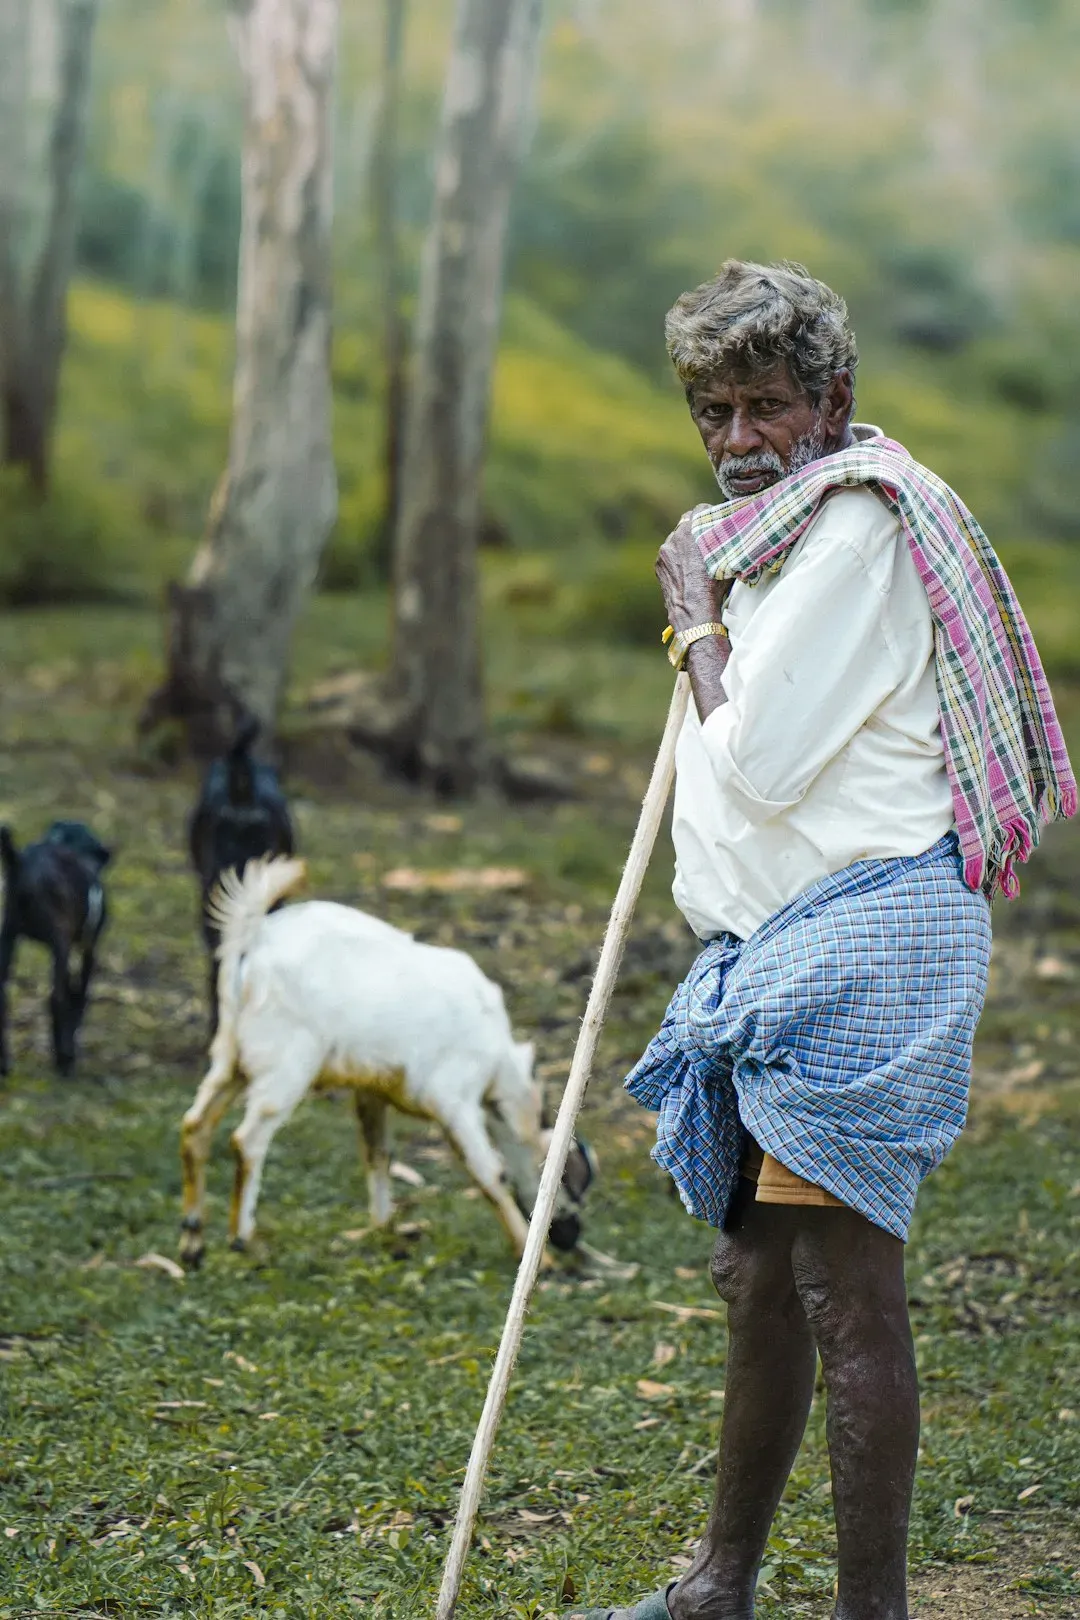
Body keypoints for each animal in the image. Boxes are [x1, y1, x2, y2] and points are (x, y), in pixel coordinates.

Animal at [0, 821, 112, 1078]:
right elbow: (79, 996)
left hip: (9, 937)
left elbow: (72, 991)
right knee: (56, 998)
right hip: (58, 940)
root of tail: (23, 865)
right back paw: (65, 1059)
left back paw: (5, 1063)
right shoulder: (87, 949)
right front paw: (67, 1052)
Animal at [179, 857, 592, 1265]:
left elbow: (376, 1153)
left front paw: (386, 1231)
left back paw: (193, 1240)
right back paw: (242, 1238)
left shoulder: (371, 1089)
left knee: (195, 1125)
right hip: (285, 1066)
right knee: (246, 1140)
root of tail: (253, 936)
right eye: (567, 1179)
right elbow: (489, 1173)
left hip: (230, 1056)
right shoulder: (454, 1100)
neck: (497, 1058)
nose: (570, 1237)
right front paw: (537, 1259)